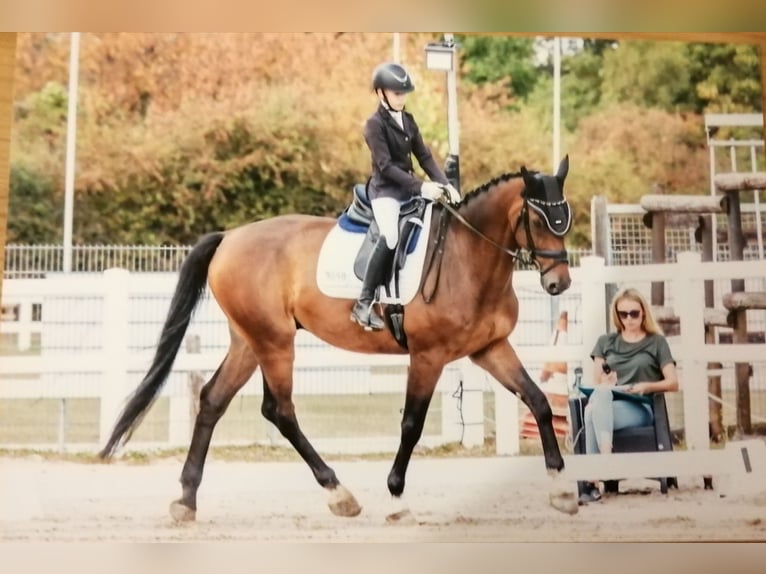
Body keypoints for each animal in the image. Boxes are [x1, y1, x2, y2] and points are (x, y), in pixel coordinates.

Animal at [98, 155, 578, 521]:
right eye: (538, 219)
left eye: (565, 219)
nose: (559, 284)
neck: (467, 256)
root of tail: (230, 236)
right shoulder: (428, 356)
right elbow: (411, 424)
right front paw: (396, 497)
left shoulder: (489, 349)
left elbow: (537, 400)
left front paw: (562, 487)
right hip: (274, 342)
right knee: (279, 410)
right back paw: (339, 493)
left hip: (249, 342)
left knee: (214, 400)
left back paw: (186, 499)